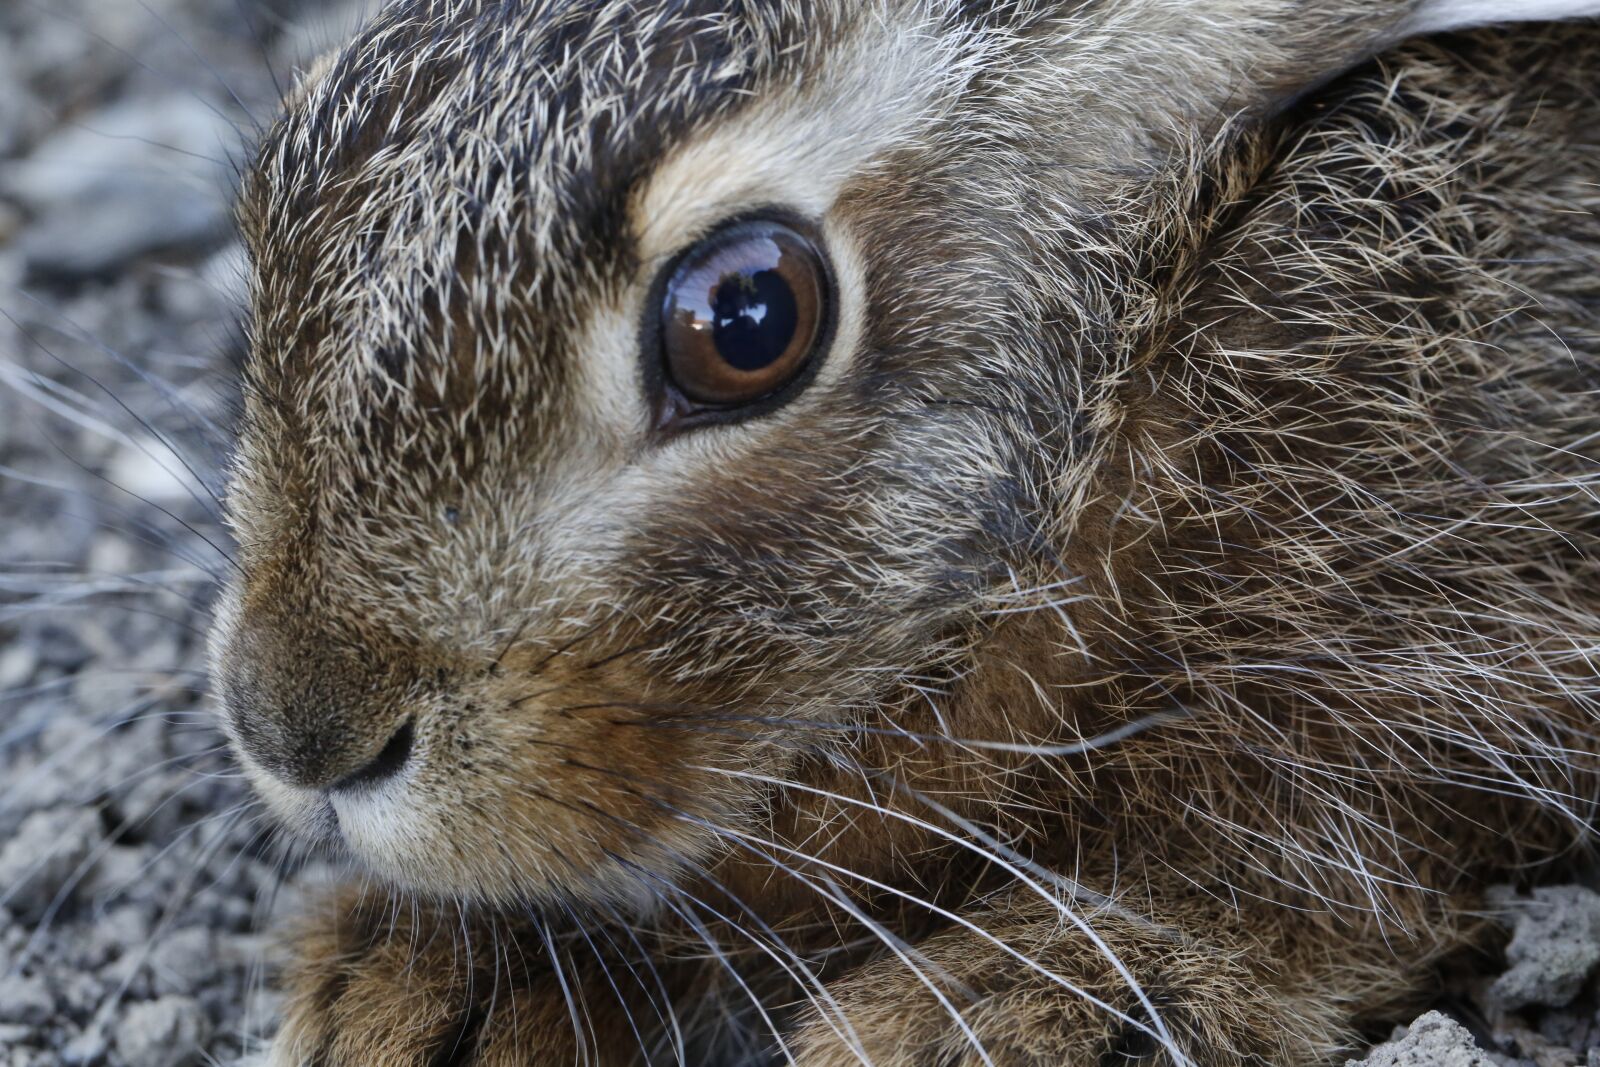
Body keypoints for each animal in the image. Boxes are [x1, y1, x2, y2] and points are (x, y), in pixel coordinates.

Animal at [210, 1, 1600, 1063]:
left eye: (747, 318)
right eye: (274, 189)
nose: (298, 730)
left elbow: (1324, 843)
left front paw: (1018, 1009)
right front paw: (424, 987)